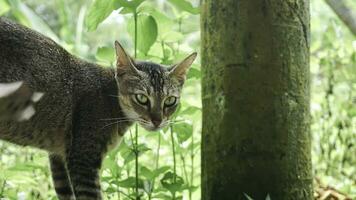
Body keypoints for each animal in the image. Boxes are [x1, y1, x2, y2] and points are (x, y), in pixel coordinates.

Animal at [0, 17, 196, 200]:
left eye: (170, 100)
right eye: (141, 98)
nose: (157, 121)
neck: (111, 99)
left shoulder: (58, 159)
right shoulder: (83, 160)